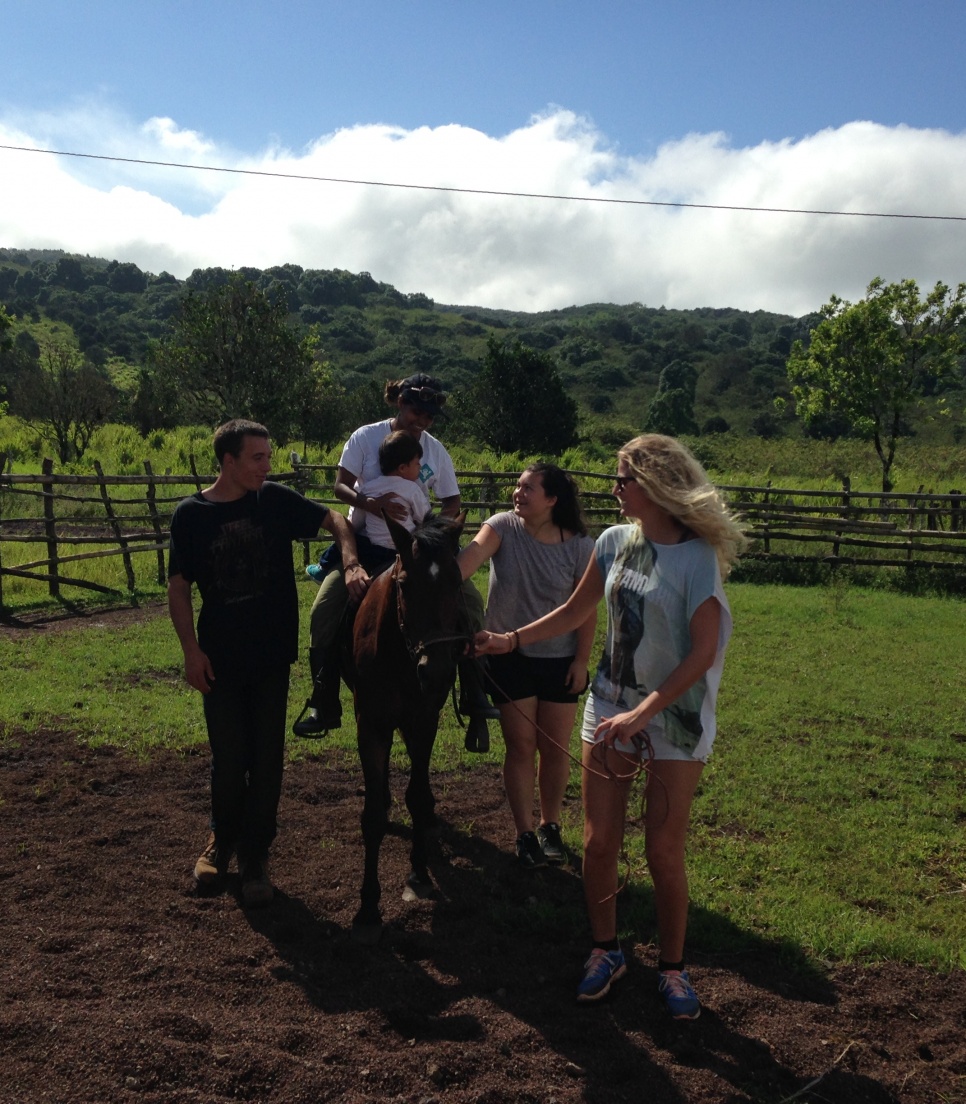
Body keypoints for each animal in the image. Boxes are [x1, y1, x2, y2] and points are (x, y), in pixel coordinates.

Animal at [346, 510, 468, 940]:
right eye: (403, 584)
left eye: (457, 581)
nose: (437, 672)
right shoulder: (370, 724)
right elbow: (372, 817)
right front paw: (368, 906)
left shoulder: (424, 720)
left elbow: (417, 795)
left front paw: (418, 873)